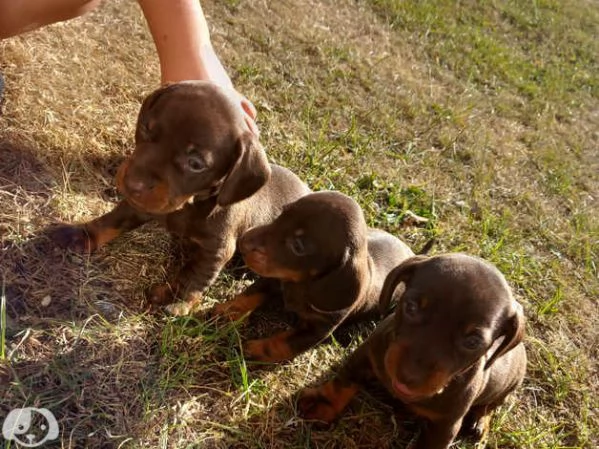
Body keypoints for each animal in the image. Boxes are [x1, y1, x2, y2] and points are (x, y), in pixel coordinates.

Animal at [50, 79, 310, 314]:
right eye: (146, 127)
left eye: (195, 163)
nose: (133, 184)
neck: (188, 205)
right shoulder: (138, 205)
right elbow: (111, 221)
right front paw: (82, 234)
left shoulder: (216, 250)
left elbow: (195, 277)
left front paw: (179, 300)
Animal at [214, 191, 418, 362]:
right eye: (283, 213)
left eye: (298, 246)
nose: (242, 243)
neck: (301, 284)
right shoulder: (274, 278)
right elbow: (252, 293)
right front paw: (228, 310)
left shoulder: (318, 330)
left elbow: (284, 343)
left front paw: (254, 349)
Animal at [298, 254, 528, 446]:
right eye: (411, 307)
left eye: (473, 341)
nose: (409, 376)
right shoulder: (366, 354)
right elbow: (342, 382)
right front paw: (322, 404)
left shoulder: (445, 426)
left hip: (509, 387)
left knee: (489, 407)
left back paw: (480, 424)